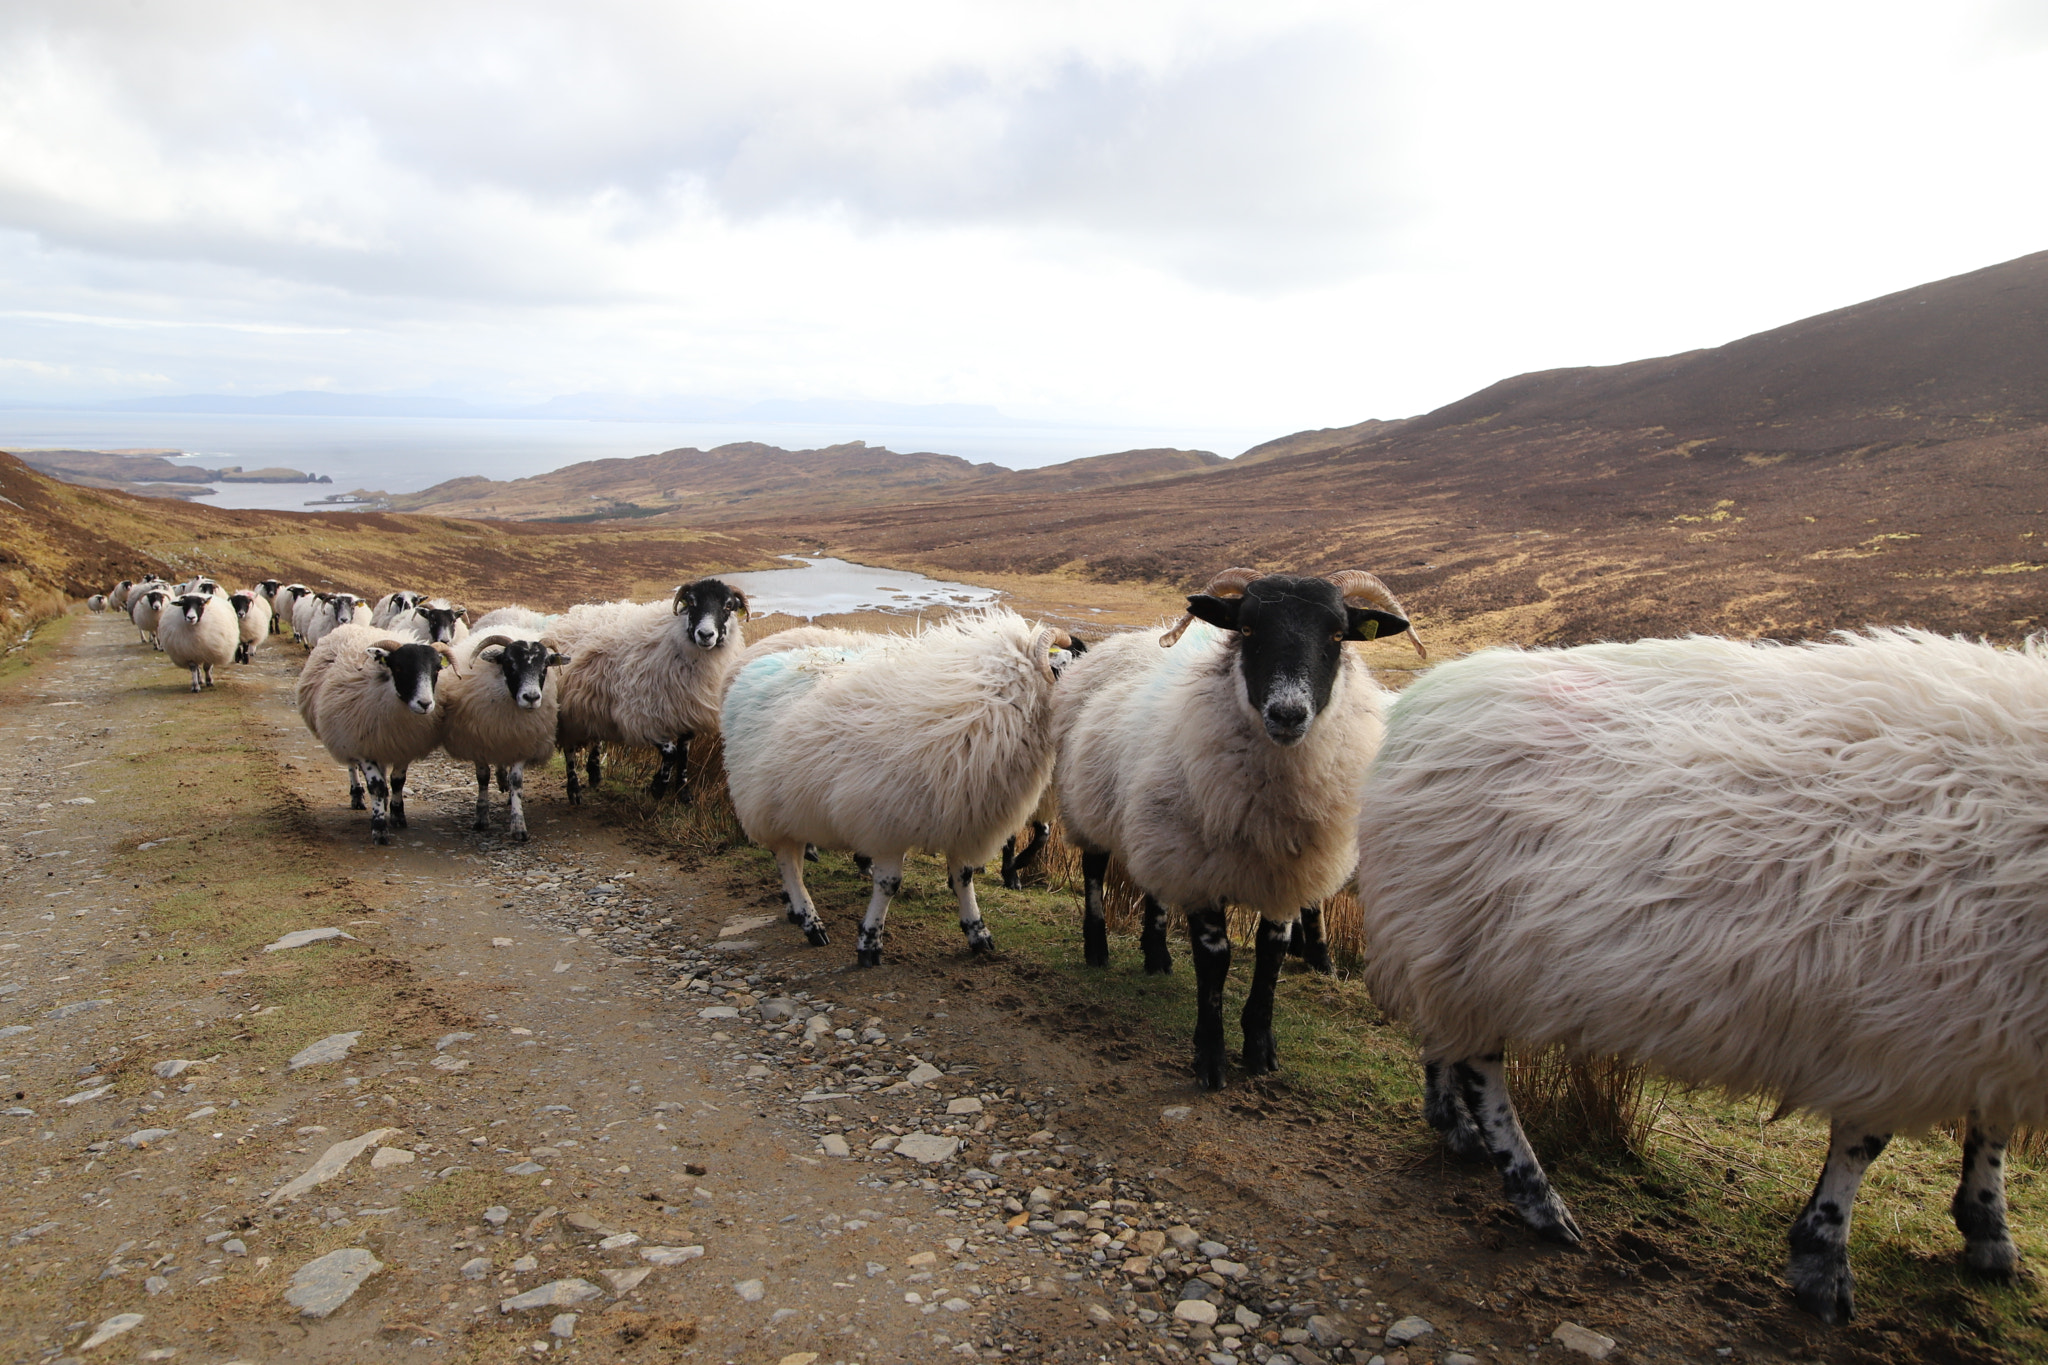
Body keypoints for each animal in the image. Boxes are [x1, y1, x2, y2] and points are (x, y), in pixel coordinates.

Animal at [296, 622, 456, 839]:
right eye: (399, 667)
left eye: (437, 669)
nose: (425, 704)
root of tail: (351, 626)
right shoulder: (363, 746)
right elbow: (377, 786)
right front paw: (379, 828)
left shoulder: (404, 746)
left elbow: (398, 782)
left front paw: (398, 816)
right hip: (345, 734)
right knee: (351, 766)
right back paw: (357, 796)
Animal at [552, 573, 753, 802]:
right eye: (692, 602)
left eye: (728, 605)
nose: (705, 634)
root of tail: (574, 612)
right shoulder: (642, 715)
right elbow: (671, 752)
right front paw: (658, 787)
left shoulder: (686, 713)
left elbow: (683, 754)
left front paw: (683, 792)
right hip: (568, 708)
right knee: (569, 749)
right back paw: (574, 789)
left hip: (591, 702)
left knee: (596, 735)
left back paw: (594, 773)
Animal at [724, 613, 1089, 965]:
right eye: (1069, 667)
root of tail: (752, 669)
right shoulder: (885, 821)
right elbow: (889, 885)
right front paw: (869, 942)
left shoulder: (963, 814)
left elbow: (964, 878)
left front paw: (977, 932)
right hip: (766, 803)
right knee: (788, 862)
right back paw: (809, 921)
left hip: (789, 805)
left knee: (792, 859)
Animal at [1048, 564, 1417, 1088]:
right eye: (1246, 629)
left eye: (1338, 634)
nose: (1288, 714)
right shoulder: (1201, 867)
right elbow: (1215, 958)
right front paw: (1210, 1056)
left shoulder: (1283, 874)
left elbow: (1270, 955)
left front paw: (1260, 1048)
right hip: (1090, 803)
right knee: (1095, 872)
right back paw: (1097, 948)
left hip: (1158, 822)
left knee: (1155, 888)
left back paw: (1156, 956)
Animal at [1359, 630, 2048, 1326]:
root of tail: (1422, 700)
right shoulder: (1896, 1022)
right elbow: (1864, 1143)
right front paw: (1823, 1260)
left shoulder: (1987, 1023)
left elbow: (1990, 1125)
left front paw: (1988, 1230)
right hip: (1465, 941)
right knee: (1483, 1069)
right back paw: (1537, 1198)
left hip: (1447, 949)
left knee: (1445, 1040)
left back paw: (1455, 1125)